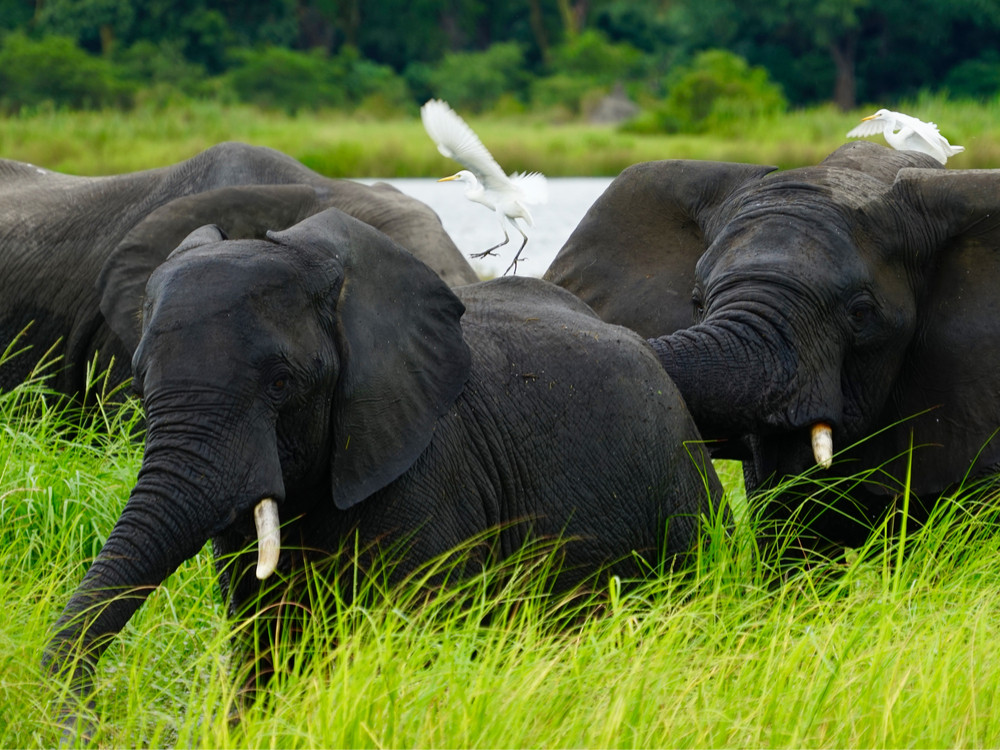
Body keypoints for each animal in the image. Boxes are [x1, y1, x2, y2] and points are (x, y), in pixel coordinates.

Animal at [47, 207, 724, 736]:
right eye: (139, 382)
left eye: (281, 384)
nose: (90, 722)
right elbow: (263, 640)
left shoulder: (431, 470)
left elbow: (403, 643)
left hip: (685, 502)